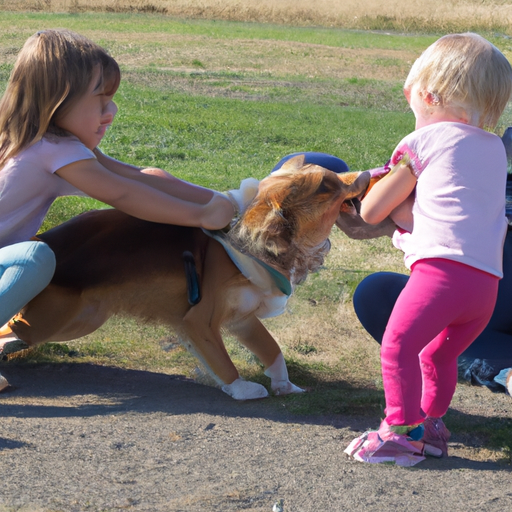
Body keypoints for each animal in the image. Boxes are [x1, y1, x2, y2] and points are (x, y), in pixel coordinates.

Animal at [1, 156, 372, 400]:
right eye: (326, 185)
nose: (369, 172)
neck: (249, 245)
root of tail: (44, 240)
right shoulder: (199, 320)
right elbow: (222, 361)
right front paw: (241, 388)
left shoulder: (242, 319)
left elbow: (272, 348)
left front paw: (285, 384)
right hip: (51, 319)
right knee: (12, 329)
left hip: (79, 321)